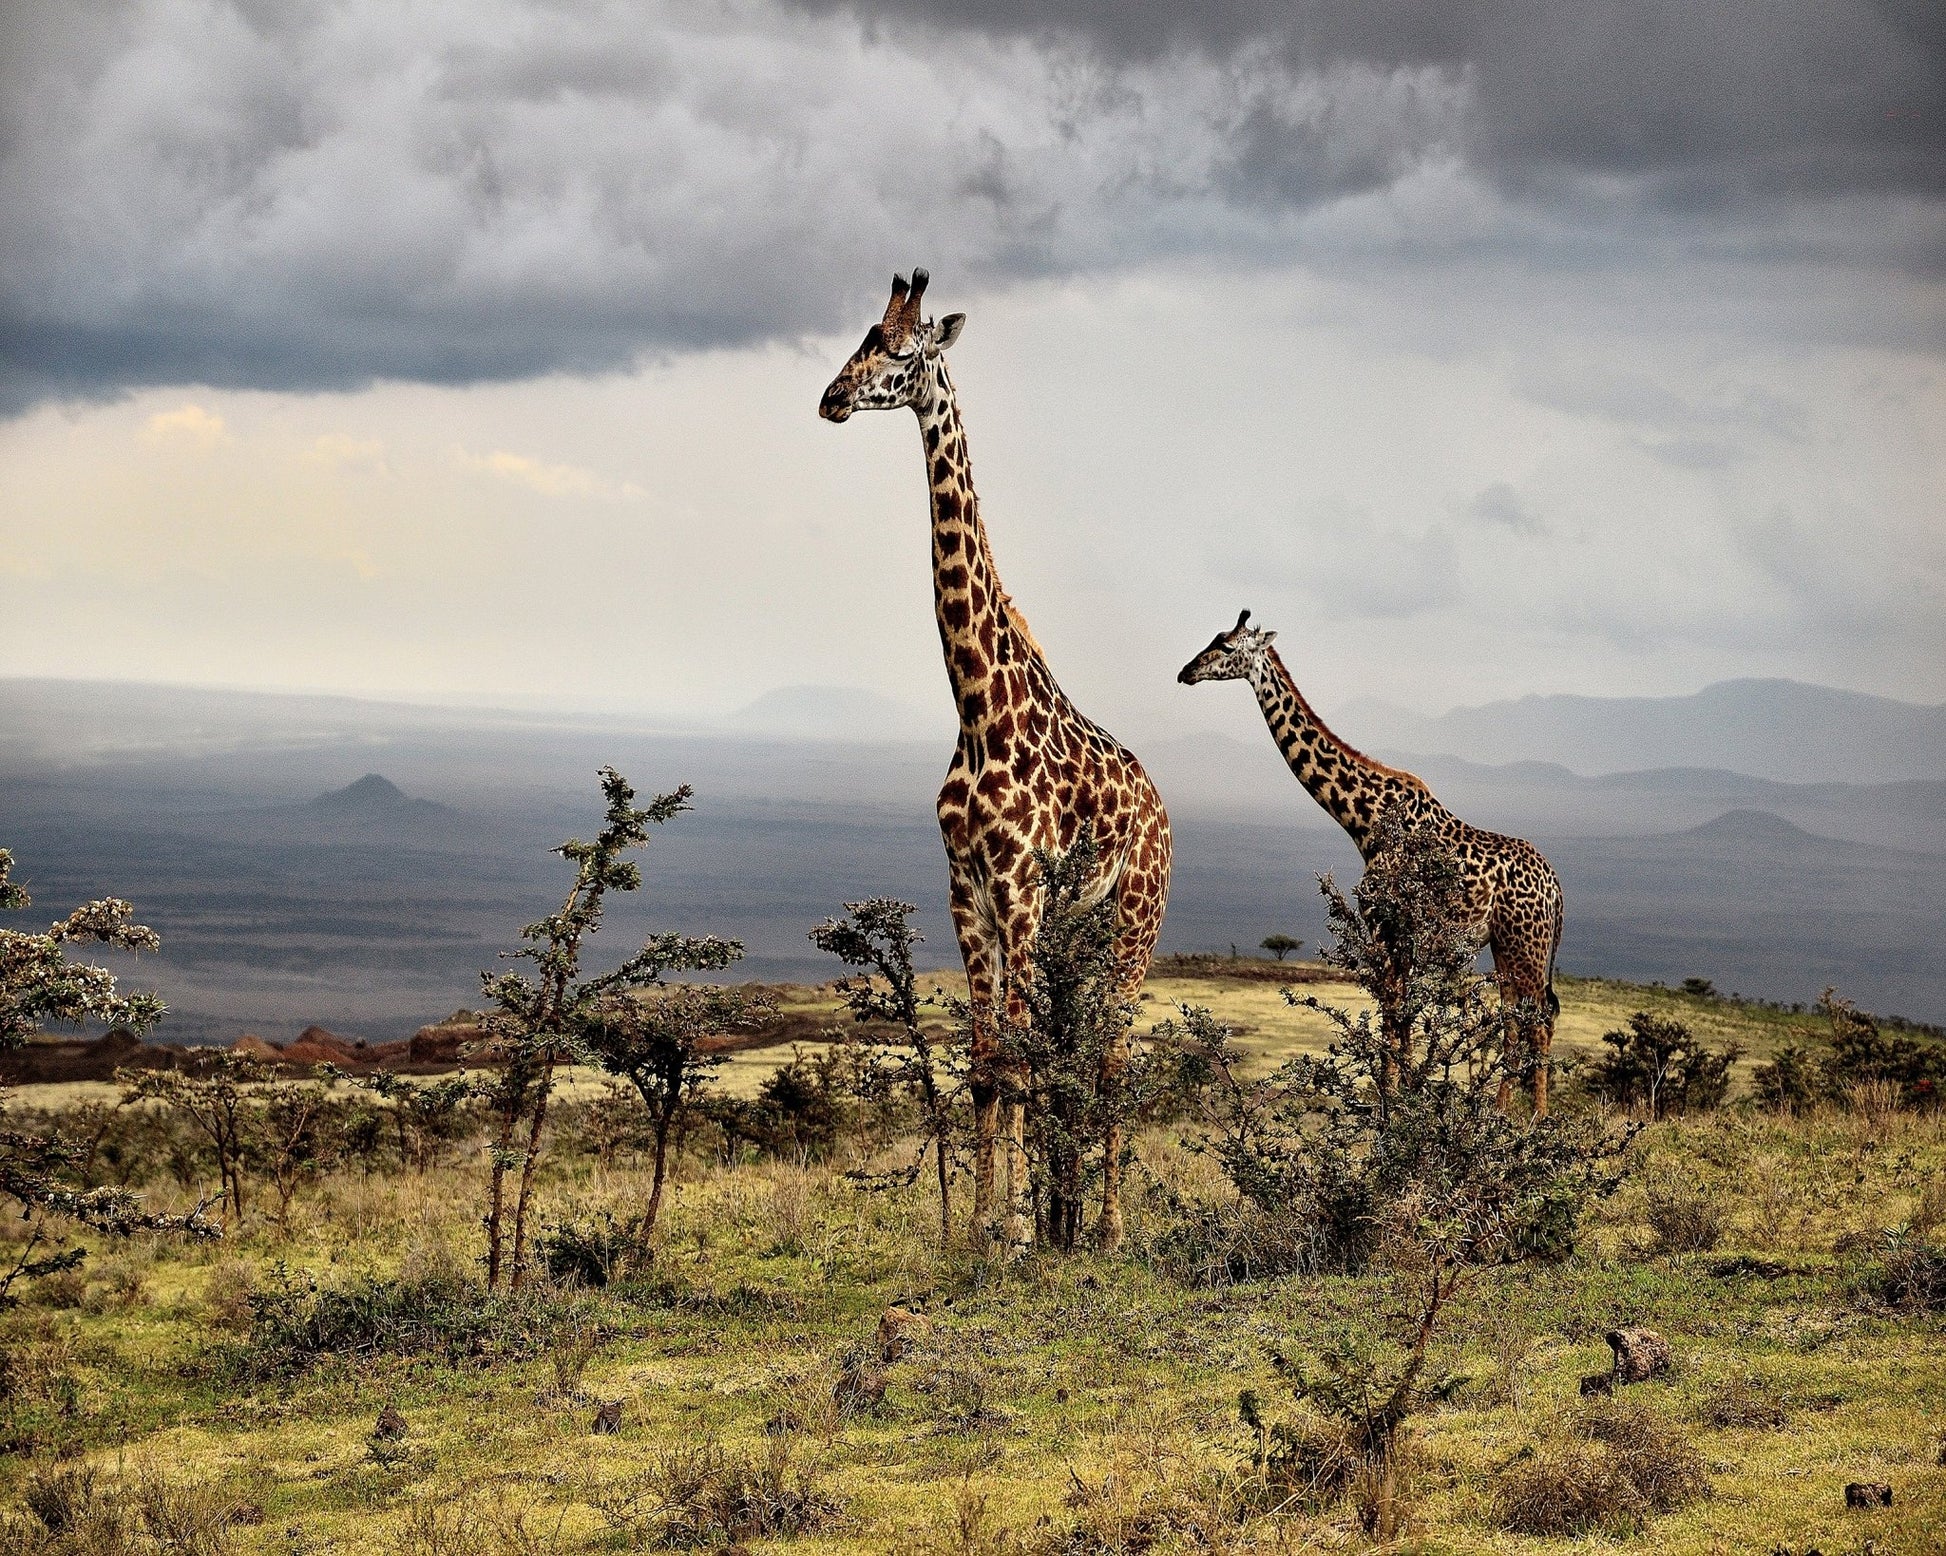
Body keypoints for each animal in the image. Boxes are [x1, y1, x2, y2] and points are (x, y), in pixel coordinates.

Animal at [819, 270, 1172, 1255]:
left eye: (903, 352)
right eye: (861, 335)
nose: (831, 398)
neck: (976, 707)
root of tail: (1163, 806)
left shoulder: (1017, 889)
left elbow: (1013, 1058)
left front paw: (1011, 1233)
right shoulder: (965, 891)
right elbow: (988, 1064)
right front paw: (982, 1228)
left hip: (1133, 923)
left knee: (1110, 1057)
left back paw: (1108, 1230)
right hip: (1075, 935)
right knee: (1072, 1053)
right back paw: (1068, 1219)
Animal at [1178, 611, 1564, 1111]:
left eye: (1226, 647)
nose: (1185, 671)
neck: (1365, 820)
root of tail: (1558, 890)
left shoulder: (1384, 925)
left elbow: (1392, 1016)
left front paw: (1391, 1106)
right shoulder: (1401, 936)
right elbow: (1401, 1020)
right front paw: (1402, 1102)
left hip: (1527, 946)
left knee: (1539, 1020)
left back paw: (1535, 1118)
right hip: (1506, 945)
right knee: (1515, 1020)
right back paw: (1497, 1114)